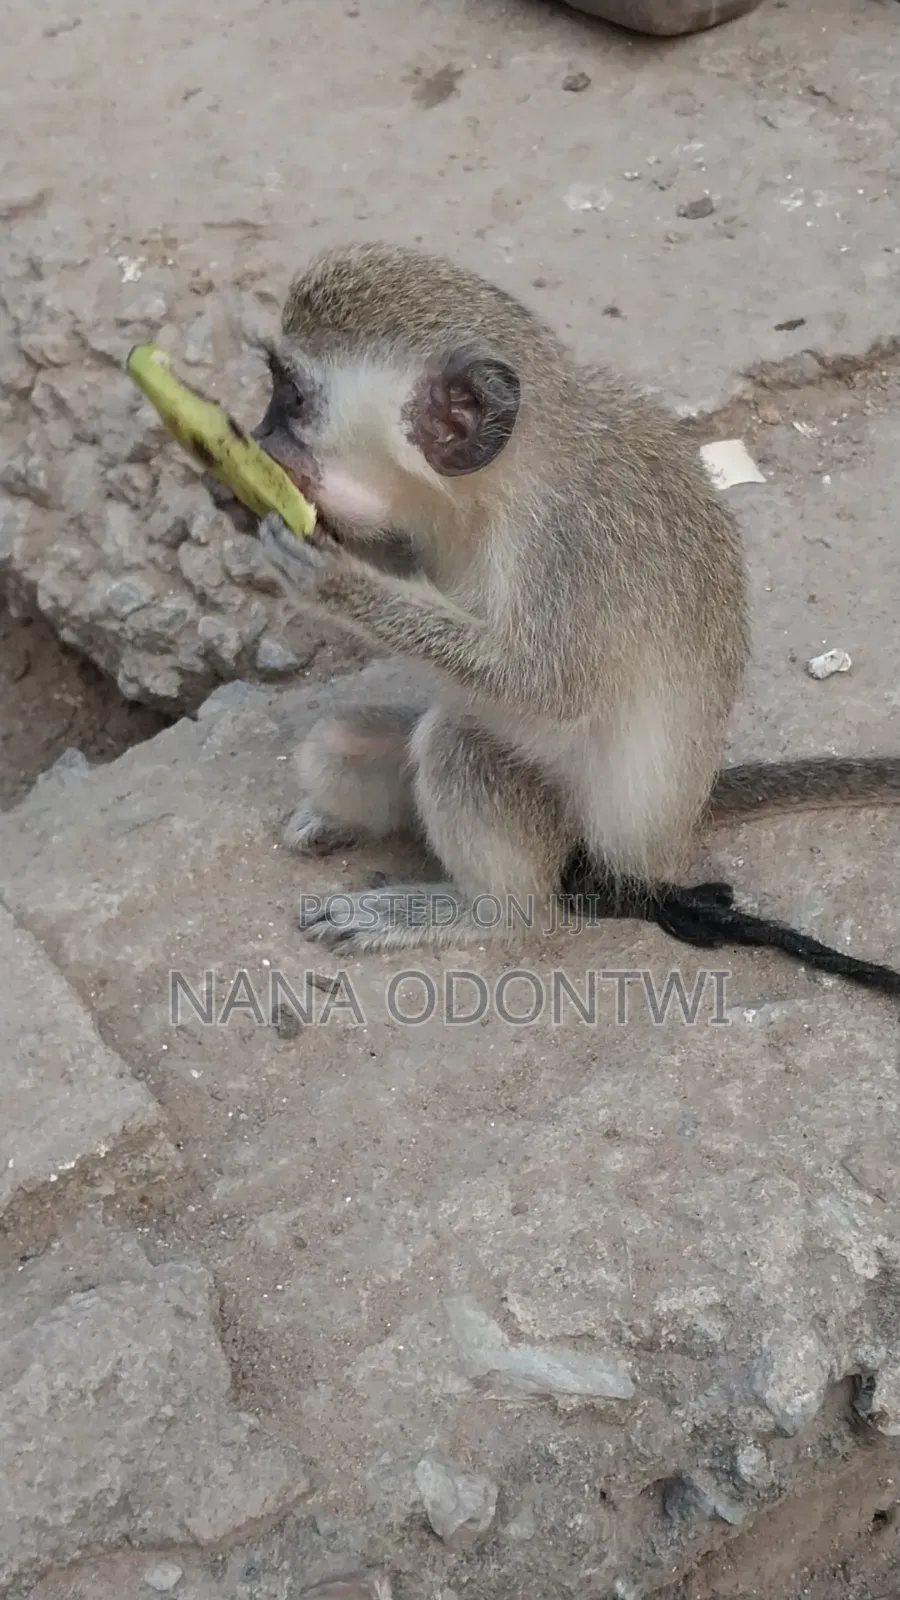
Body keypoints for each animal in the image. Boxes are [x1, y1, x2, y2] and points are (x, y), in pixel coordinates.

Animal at [248, 240, 900, 997]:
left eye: (292, 399)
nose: (256, 437)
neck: (500, 483)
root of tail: (668, 831)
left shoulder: (567, 541)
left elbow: (550, 690)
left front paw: (333, 580)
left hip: (576, 836)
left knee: (458, 744)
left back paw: (487, 912)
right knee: (339, 745)